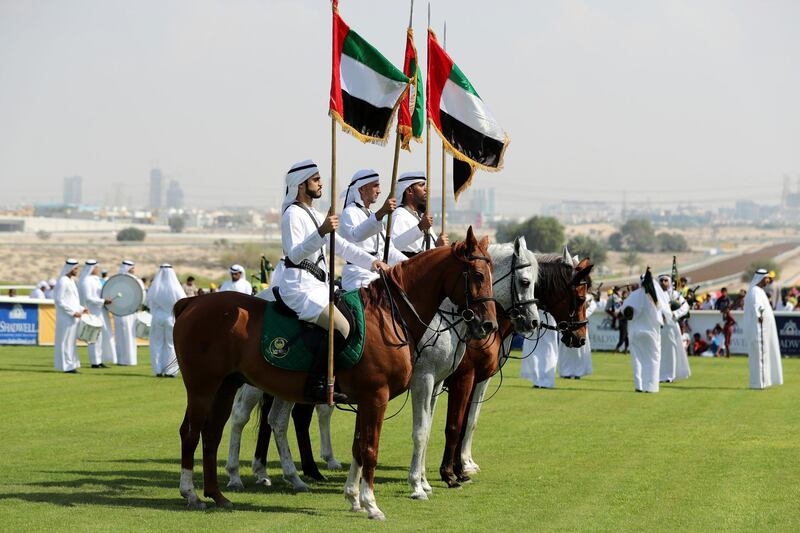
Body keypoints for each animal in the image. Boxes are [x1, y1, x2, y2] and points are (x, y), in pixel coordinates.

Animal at [175, 227, 496, 516]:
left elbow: (358, 446)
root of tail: (191, 302)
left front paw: (354, 497)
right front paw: (372, 503)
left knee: (215, 432)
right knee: (193, 431)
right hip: (203, 387)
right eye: (478, 275)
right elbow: (371, 448)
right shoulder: (378, 395)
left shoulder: (367, 399)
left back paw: (219, 495)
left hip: (226, 386)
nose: (488, 325)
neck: (388, 317)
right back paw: (193, 493)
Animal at [438, 256, 592, 484]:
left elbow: (467, 422)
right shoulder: (463, 379)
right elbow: (455, 424)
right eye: (581, 299)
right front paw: (451, 472)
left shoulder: (476, 380)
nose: (580, 338)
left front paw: (461, 468)